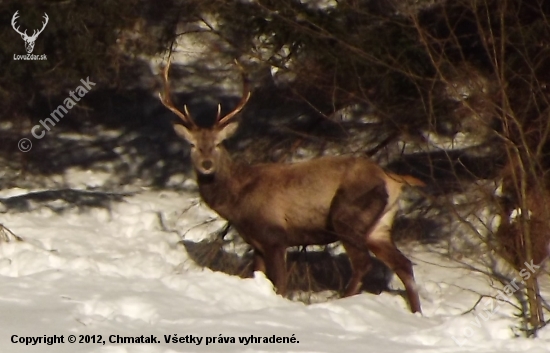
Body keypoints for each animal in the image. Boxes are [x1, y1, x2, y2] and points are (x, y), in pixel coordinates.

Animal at [160, 58, 426, 314]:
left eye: (218, 143)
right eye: (193, 145)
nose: (206, 164)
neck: (238, 201)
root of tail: (391, 180)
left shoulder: (276, 237)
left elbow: (280, 284)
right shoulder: (257, 243)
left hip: (348, 215)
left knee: (363, 263)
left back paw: (341, 301)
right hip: (379, 227)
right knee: (404, 265)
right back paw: (416, 313)